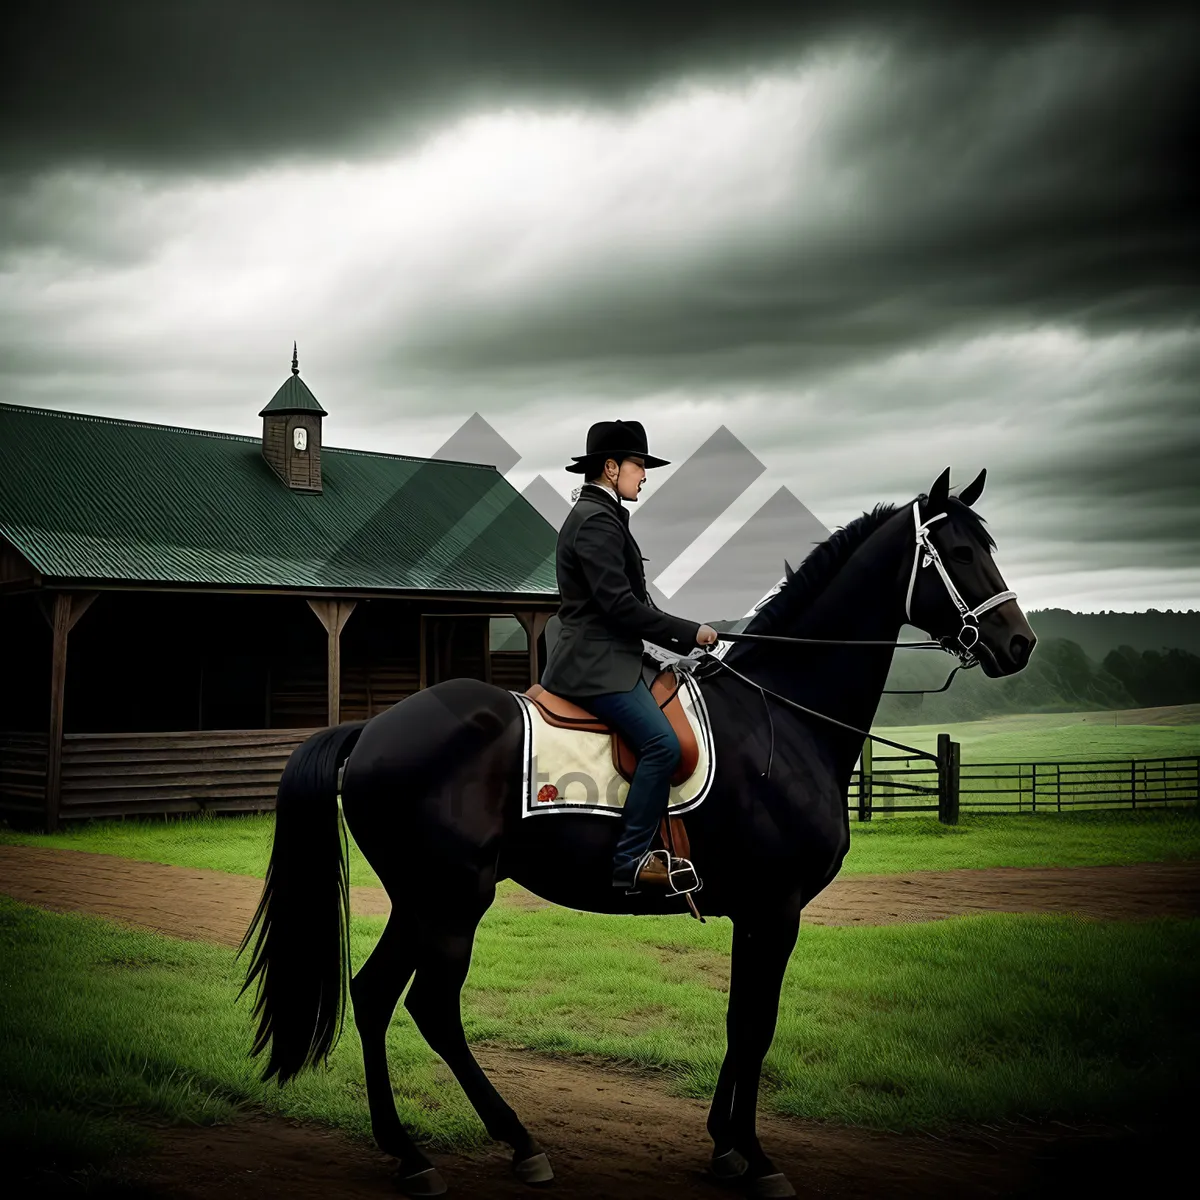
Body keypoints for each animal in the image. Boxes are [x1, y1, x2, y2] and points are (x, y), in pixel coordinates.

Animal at [241, 465, 1032, 1190]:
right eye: (961, 553)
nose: (1018, 644)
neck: (781, 717)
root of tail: (372, 729)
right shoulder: (776, 908)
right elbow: (759, 1025)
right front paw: (758, 1158)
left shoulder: (753, 912)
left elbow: (740, 1020)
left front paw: (725, 1146)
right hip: (451, 900)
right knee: (430, 1008)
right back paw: (512, 1145)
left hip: (420, 899)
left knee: (374, 997)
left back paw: (409, 1153)